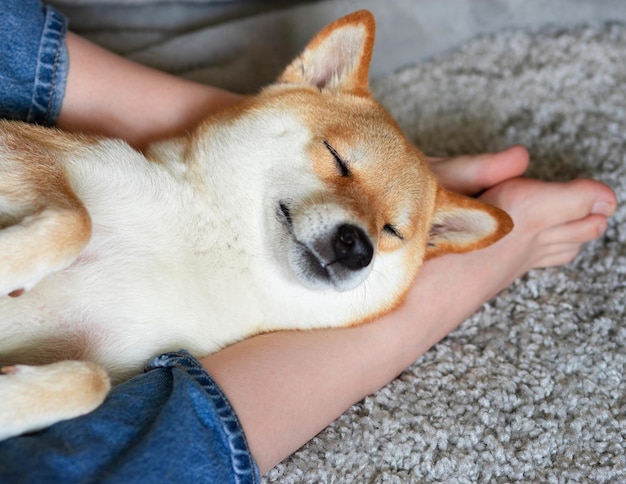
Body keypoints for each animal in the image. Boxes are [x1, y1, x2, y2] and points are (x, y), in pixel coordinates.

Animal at [0, 10, 510, 442]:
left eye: (392, 231)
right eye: (337, 159)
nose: (356, 247)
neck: (213, 250)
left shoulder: (109, 358)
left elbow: (90, 381)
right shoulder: (28, 151)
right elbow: (75, 222)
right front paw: (11, 265)